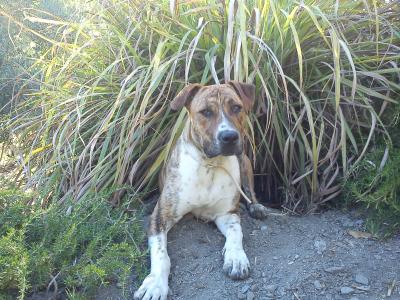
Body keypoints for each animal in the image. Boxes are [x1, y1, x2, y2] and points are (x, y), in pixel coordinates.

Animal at [134, 81, 268, 298]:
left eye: (236, 107)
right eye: (205, 112)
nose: (229, 137)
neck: (210, 165)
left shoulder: (227, 214)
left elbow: (236, 233)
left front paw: (236, 258)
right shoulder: (160, 218)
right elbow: (162, 255)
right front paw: (155, 284)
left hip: (245, 162)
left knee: (249, 190)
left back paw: (257, 207)